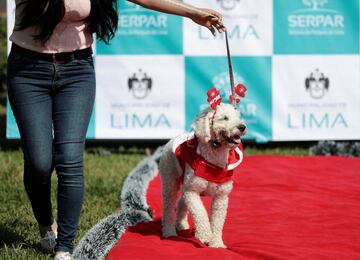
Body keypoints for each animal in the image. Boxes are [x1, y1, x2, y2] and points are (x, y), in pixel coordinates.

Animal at [159, 103, 246, 248]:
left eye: (238, 117)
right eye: (225, 118)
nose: (242, 127)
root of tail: (172, 139)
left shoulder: (221, 197)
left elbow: (217, 222)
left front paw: (216, 244)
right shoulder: (192, 191)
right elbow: (200, 213)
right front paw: (205, 236)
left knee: (181, 202)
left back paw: (181, 224)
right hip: (170, 179)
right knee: (168, 207)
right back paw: (169, 232)